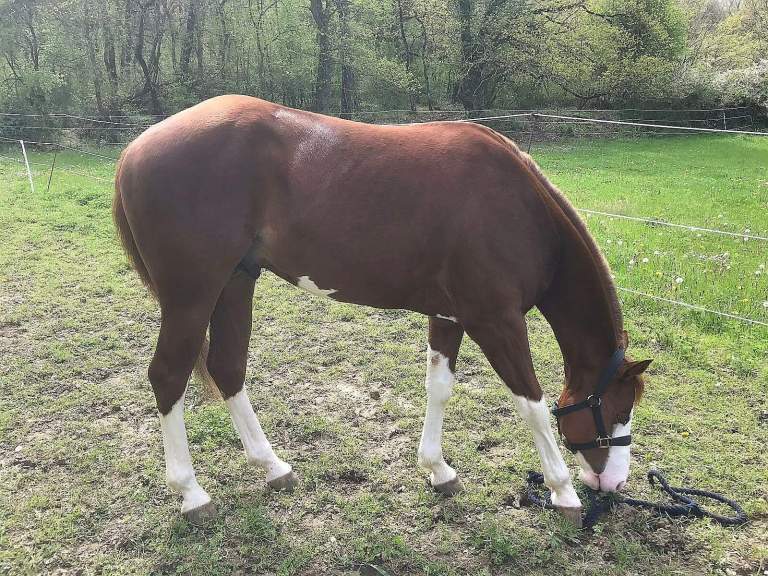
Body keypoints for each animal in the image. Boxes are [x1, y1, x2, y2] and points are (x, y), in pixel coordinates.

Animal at [113, 95, 651, 526]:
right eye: (620, 409)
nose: (616, 486)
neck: (519, 210)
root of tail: (135, 149)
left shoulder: (451, 316)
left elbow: (439, 387)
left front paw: (438, 469)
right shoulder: (495, 321)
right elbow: (533, 404)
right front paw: (562, 491)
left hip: (234, 284)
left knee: (227, 367)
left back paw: (273, 467)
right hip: (191, 294)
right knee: (168, 376)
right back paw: (192, 493)